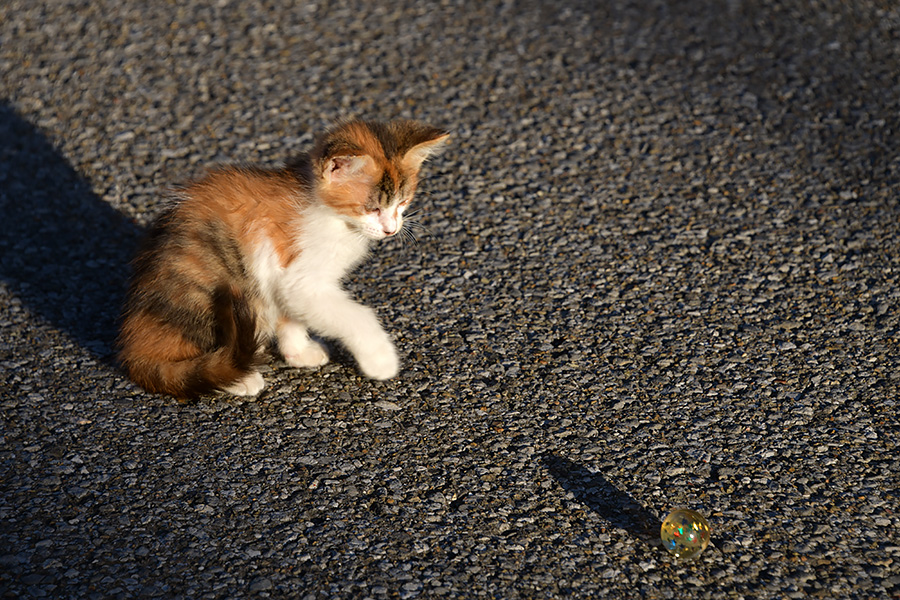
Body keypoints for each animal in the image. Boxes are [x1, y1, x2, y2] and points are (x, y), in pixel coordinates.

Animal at [116, 119, 446, 400]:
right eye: (371, 208)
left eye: (402, 203)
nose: (391, 229)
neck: (333, 217)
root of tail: (133, 348)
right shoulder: (299, 276)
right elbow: (356, 315)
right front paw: (381, 359)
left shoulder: (283, 276)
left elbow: (291, 313)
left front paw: (298, 351)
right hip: (214, 285)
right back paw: (237, 378)